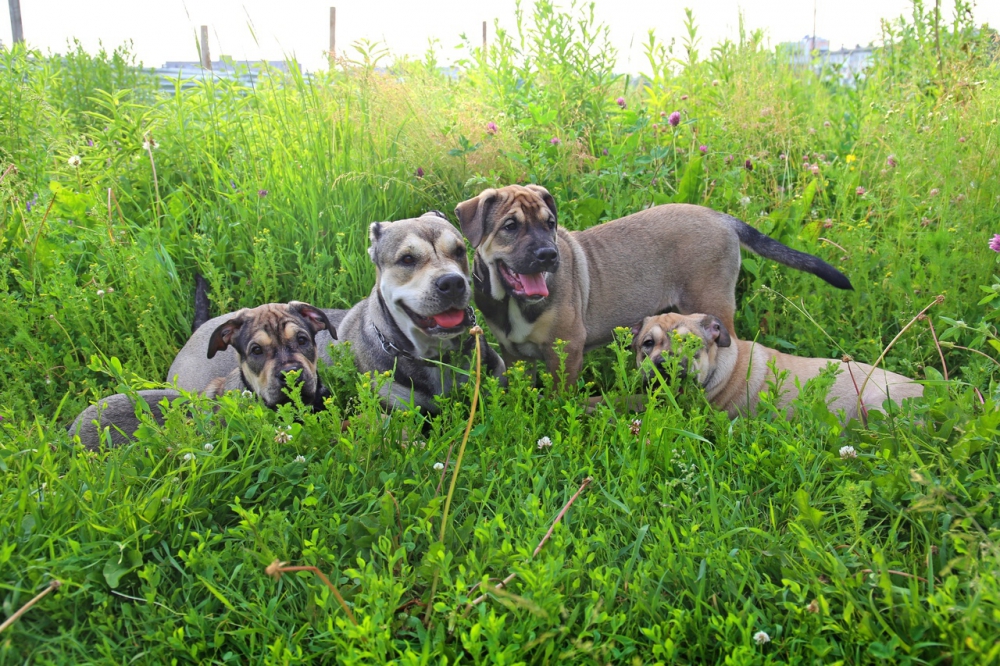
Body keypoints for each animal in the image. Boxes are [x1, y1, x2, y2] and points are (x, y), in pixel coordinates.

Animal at [458, 184, 856, 386]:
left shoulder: (566, 349)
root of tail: (722, 218)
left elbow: (561, 394)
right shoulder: (513, 353)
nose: (549, 255)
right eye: (510, 226)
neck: (510, 300)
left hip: (713, 301)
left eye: (549, 223)